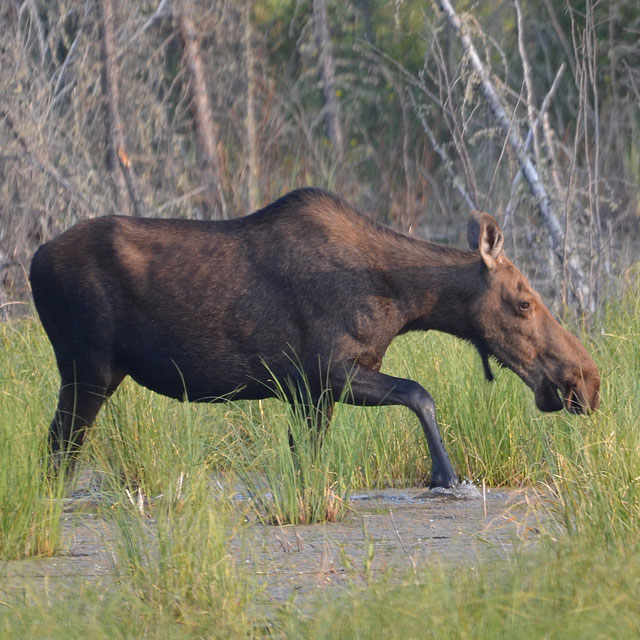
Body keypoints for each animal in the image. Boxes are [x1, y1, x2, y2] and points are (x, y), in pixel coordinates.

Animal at [30, 188, 600, 488]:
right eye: (524, 302)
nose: (587, 380)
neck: (403, 302)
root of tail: (35, 262)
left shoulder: (311, 393)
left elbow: (307, 460)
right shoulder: (328, 371)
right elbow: (420, 393)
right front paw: (446, 477)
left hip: (95, 375)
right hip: (86, 369)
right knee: (57, 452)